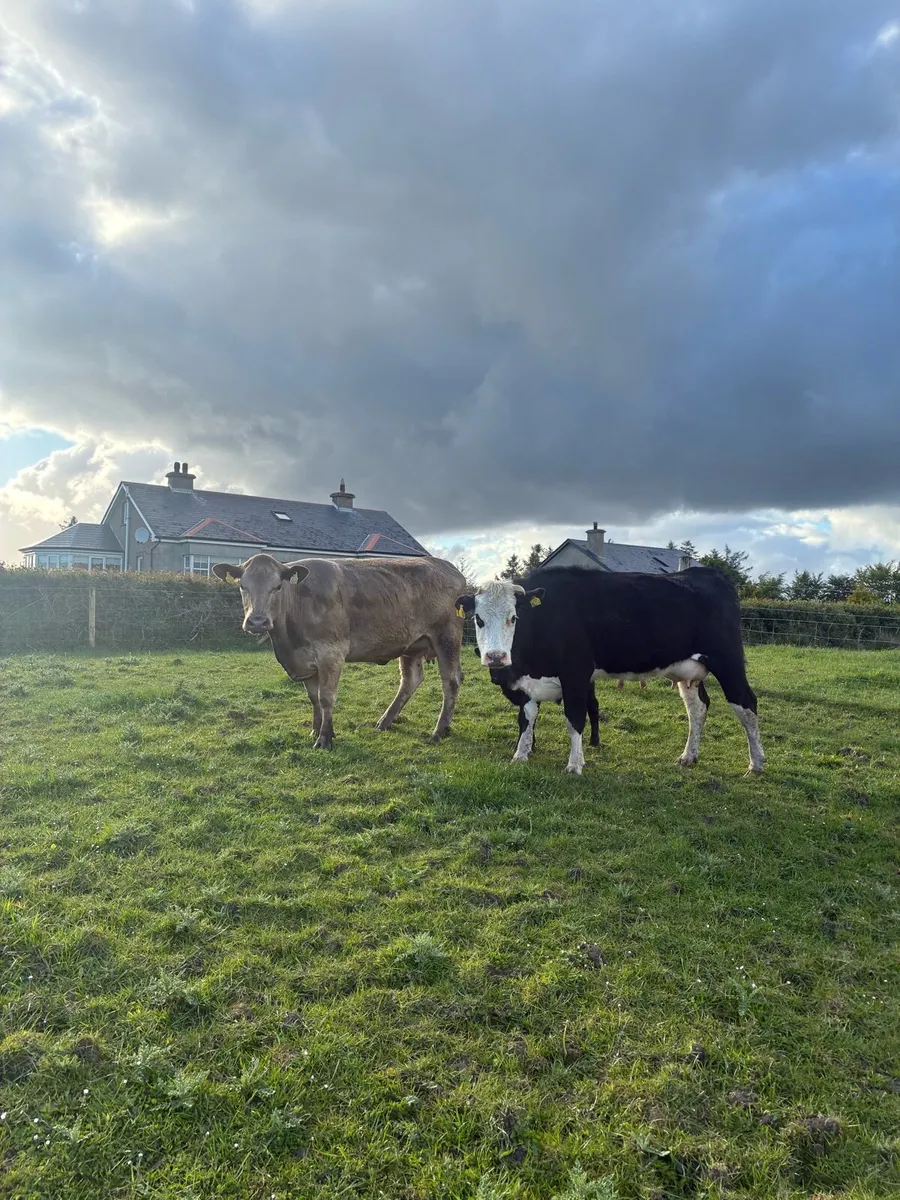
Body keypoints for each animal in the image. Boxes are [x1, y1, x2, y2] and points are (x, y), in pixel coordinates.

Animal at [213, 552, 465, 749]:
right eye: (242, 586)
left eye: (277, 587)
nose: (257, 621)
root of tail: (448, 567)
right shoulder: (306, 661)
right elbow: (313, 698)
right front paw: (316, 730)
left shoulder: (331, 653)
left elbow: (326, 697)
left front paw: (325, 738)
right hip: (411, 645)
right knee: (410, 680)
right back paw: (385, 721)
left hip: (447, 637)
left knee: (451, 682)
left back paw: (439, 730)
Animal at [457, 565, 765, 776]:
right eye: (478, 619)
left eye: (513, 618)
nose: (496, 657)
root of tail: (707, 573)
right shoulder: (527, 682)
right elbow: (527, 718)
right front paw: (521, 754)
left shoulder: (576, 674)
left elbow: (574, 718)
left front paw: (575, 764)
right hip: (688, 671)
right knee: (697, 709)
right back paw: (689, 756)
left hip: (727, 661)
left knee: (746, 704)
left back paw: (756, 763)